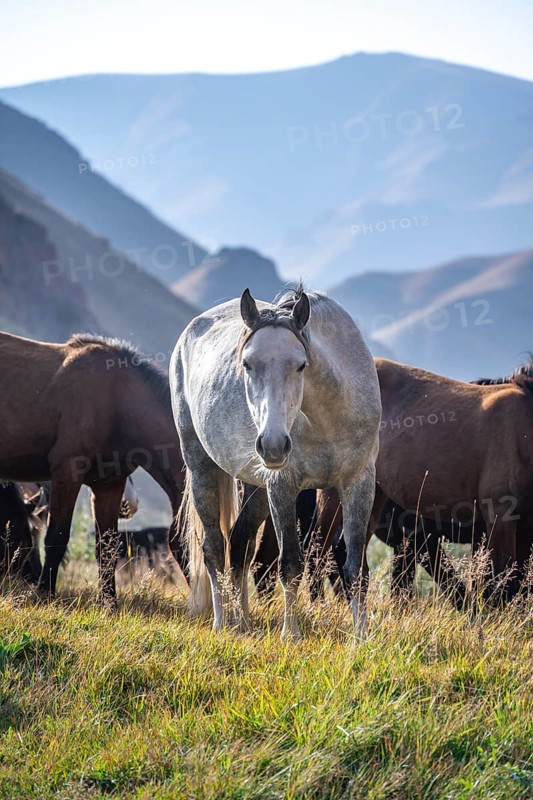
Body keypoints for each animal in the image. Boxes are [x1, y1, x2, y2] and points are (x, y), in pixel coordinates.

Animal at [0, 331, 186, 607]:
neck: (116, 401)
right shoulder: (67, 474)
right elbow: (56, 537)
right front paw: (45, 594)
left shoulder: (109, 484)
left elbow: (107, 547)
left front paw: (109, 605)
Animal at [170, 286, 381, 638]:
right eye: (246, 363)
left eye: (300, 365)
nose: (272, 445)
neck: (327, 418)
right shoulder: (283, 486)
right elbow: (291, 564)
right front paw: (290, 634)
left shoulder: (359, 483)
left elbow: (355, 568)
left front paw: (362, 636)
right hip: (202, 468)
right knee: (214, 548)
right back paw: (221, 623)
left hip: (257, 488)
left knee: (240, 544)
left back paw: (242, 623)